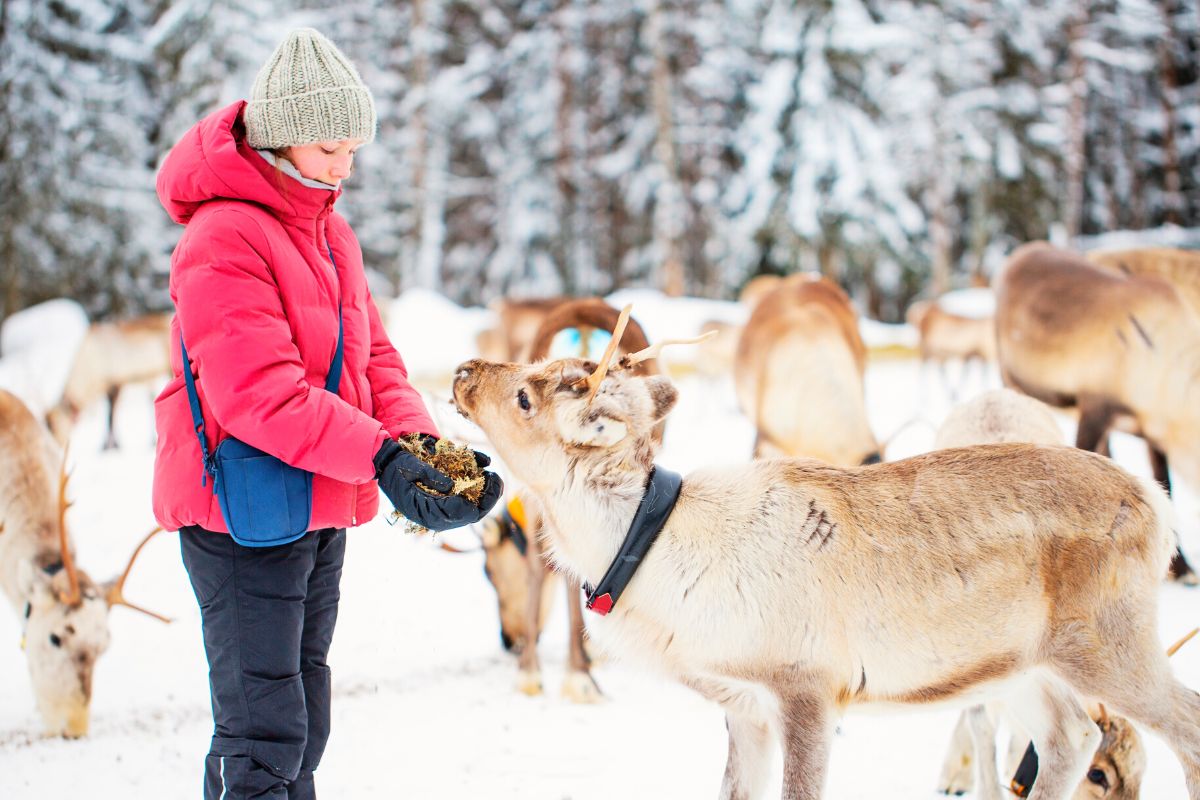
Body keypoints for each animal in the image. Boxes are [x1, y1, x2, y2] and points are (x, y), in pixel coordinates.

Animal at [45, 312, 172, 451]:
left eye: (55, 426)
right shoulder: (105, 387)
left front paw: (112, 445)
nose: (54, 445)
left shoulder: (115, 383)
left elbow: (111, 416)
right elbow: (108, 417)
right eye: (47, 425)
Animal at [995, 241, 1199, 584]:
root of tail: (1025, 250)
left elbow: (1166, 487)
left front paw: (1181, 567)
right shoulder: (1093, 408)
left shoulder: (1153, 434)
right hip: (1010, 377)